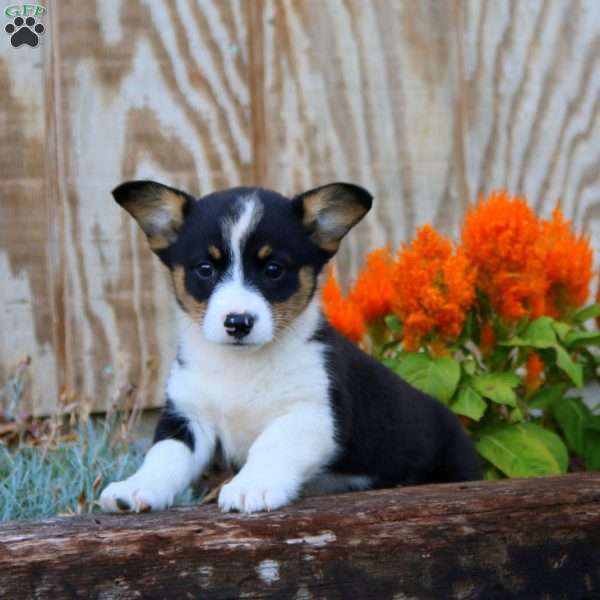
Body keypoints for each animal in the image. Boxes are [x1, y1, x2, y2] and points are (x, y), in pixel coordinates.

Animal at [101, 180, 480, 512]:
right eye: (205, 269)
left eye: (273, 269)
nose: (237, 322)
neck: (240, 365)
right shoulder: (187, 417)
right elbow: (164, 455)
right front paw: (134, 488)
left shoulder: (312, 415)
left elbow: (271, 444)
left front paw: (250, 487)